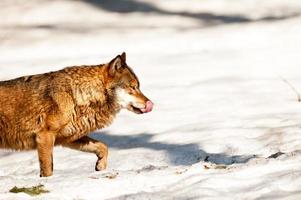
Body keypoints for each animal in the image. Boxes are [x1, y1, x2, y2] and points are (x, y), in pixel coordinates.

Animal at [0, 52, 152, 177]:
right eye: (133, 87)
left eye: (138, 87)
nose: (150, 103)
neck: (76, 95)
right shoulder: (44, 137)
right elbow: (48, 169)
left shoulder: (67, 139)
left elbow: (103, 146)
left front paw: (100, 166)